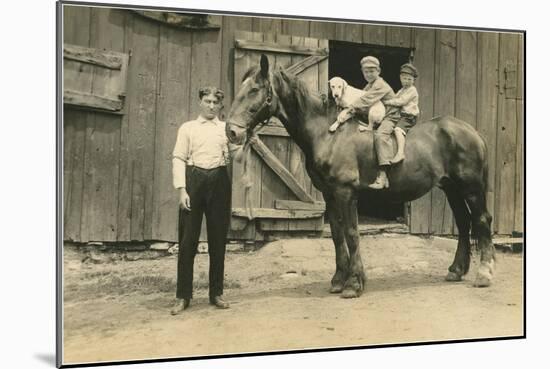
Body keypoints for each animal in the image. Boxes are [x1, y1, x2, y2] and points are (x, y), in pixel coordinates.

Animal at [226, 54, 498, 296]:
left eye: (254, 90)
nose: (232, 132)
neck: (328, 133)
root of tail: (471, 131)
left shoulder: (346, 192)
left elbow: (351, 233)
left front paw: (354, 284)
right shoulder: (330, 195)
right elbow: (337, 235)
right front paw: (338, 280)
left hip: (471, 189)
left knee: (481, 220)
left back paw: (484, 274)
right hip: (451, 188)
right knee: (463, 223)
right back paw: (456, 270)